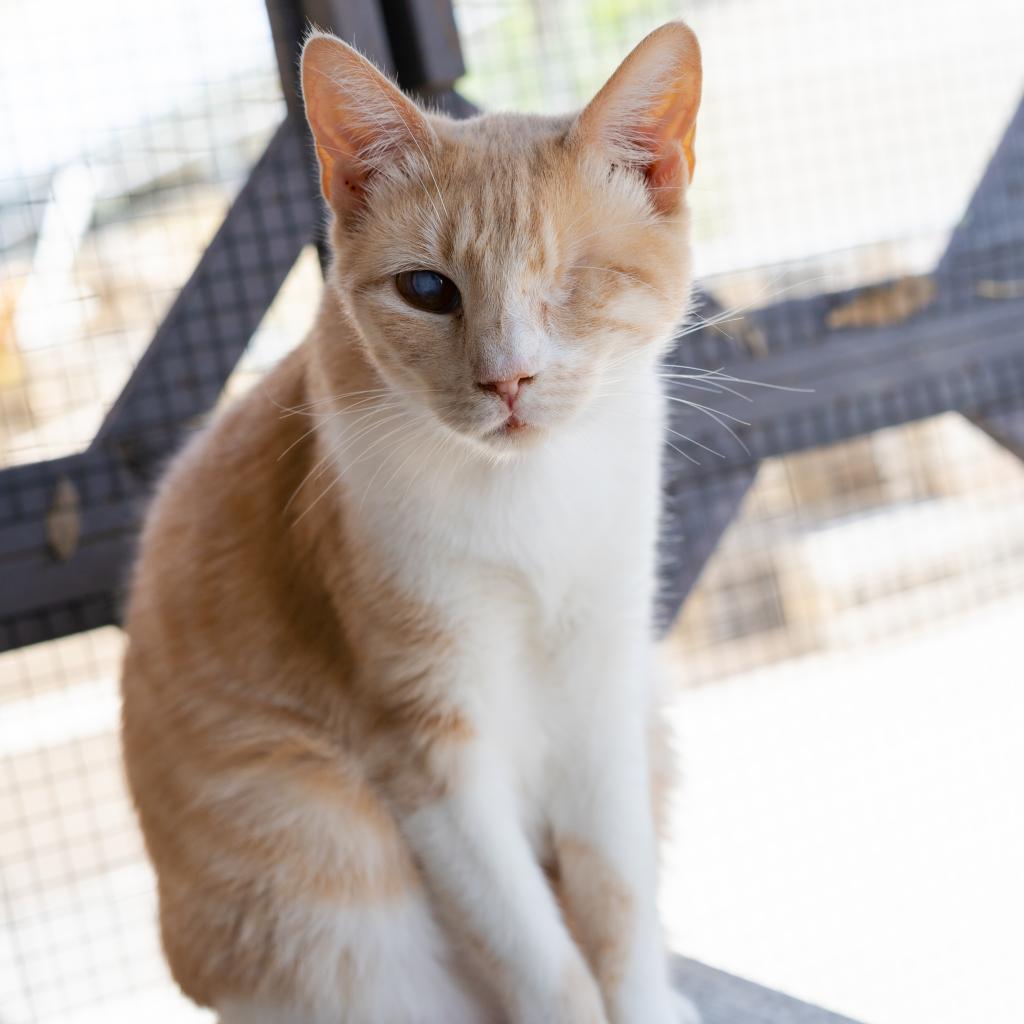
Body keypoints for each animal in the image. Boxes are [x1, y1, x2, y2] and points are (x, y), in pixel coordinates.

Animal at [116, 18, 700, 1024]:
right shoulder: (422, 744)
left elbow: (619, 903)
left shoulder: (605, 684)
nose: (508, 379)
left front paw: (646, 1001)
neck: (527, 497)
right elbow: (540, 958)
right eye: (428, 291)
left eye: (576, 281)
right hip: (316, 842)